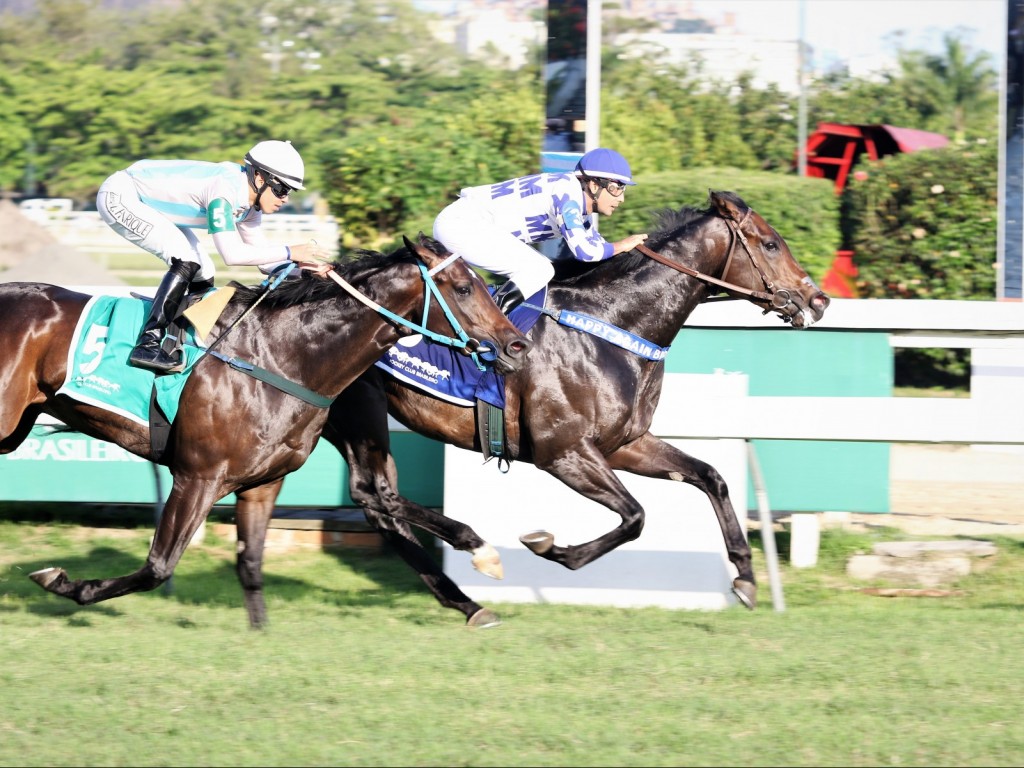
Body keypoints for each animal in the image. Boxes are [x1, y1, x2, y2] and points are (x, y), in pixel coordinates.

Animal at [0, 234, 528, 618]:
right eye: (465, 288)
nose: (516, 346)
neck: (284, 355)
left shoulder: (262, 482)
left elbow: (250, 563)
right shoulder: (198, 476)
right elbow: (158, 567)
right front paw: (64, 583)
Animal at [234, 192, 831, 630]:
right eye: (771, 243)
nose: (819, 300)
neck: (613, 325)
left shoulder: (625, 444)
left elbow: (711, 477)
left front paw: (745, 579)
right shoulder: (563, 452)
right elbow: (635, 516)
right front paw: (548, 548)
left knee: (378, 500)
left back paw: (466, 601)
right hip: (357, 409)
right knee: (374, 494)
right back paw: (474, 562)